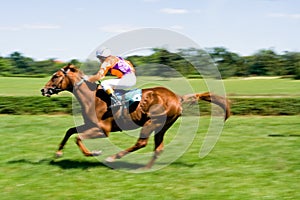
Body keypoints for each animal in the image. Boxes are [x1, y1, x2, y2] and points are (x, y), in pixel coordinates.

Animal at [41, 64, 230, 169]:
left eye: (56, 76)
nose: (43, 90)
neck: (92, 97)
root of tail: (177, 97)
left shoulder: (103, 129)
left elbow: (78, 138)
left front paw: (94, 152)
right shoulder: (90, 124)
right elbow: (70, 131)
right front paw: (58, 152)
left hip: (151, 122)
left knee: (141, 143)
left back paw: (114, 157)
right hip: (162, 126)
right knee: (158, 148)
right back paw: (145, 169)